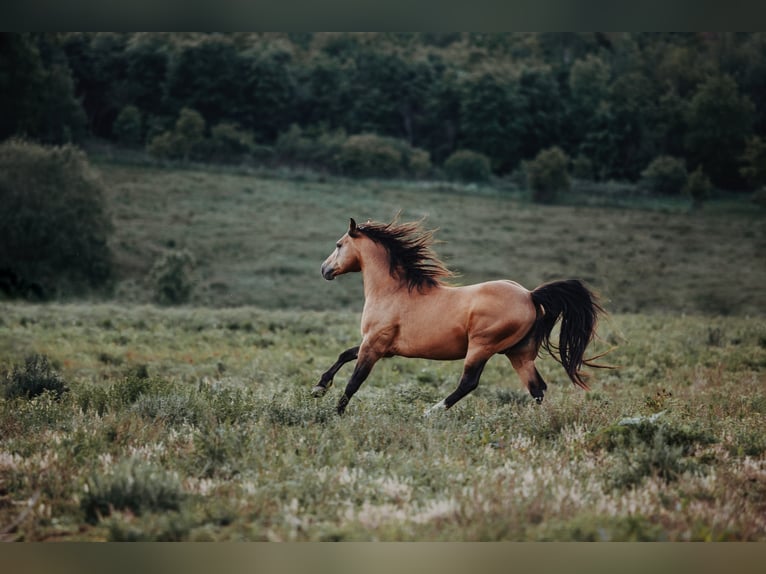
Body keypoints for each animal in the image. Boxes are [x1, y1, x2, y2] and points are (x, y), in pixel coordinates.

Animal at [312, 218, 608, 416]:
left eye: (339, 244)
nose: (324, 269)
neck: (392, 291)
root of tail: (530, 295)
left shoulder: (374, 344)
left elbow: (355, 380)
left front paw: (335, 413)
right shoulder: (380, 346)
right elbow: (344, 355)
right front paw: (319, 388)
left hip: (481, 347)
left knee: (468, 383)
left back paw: (431, 413)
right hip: (520, 354)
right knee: (538, 388)